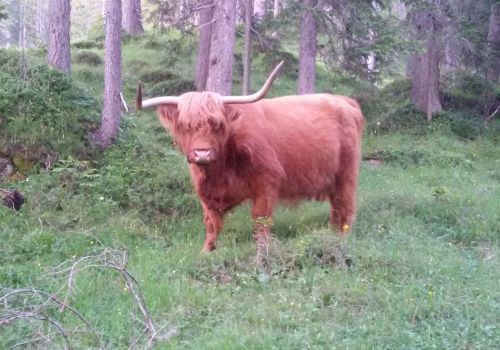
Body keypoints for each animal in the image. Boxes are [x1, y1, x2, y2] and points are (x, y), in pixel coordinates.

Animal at [137, 63, 364, 253]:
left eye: (217, 124)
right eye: (185, 125)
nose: (202, 153)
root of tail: (344, 100)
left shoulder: (267, 183)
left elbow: (260, 219)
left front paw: (262, 250)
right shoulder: (206, 193)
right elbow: (211, 223)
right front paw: (206, 251)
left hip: (346, 174)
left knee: (346, 206)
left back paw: (342, 237)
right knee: (336, 207)